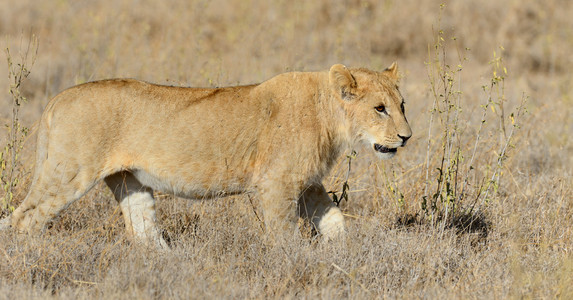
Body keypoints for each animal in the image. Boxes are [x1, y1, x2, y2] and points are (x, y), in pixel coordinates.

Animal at [0, 62, 412, 247]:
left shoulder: (307, 184)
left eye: (402, 105)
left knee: (144, 230)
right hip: (69, 173)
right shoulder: (277, 184)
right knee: (25, 219)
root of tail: (57, 98)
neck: (330, 117)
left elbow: (335, 222)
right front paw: (291, 262)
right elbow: (284, 234)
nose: (406, 138)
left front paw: (346, 256)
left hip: (129, 182)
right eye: (380, 109)